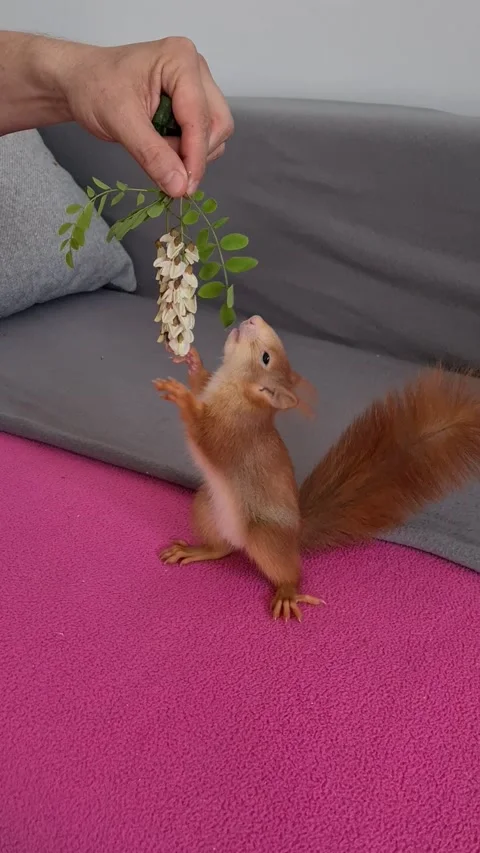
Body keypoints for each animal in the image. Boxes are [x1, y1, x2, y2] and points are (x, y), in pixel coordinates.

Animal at [153, 315, 480, 622]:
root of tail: (295, 535)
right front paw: (193, 362)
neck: (232, 389)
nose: (254, 319)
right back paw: (196, 550)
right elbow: (201, 383)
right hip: (206, 508)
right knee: (222, 548)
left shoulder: (232, 434)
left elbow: (205, 433)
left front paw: (182, 397)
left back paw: (288, 593)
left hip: (265, 538)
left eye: (266, 358)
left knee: (289, 572)